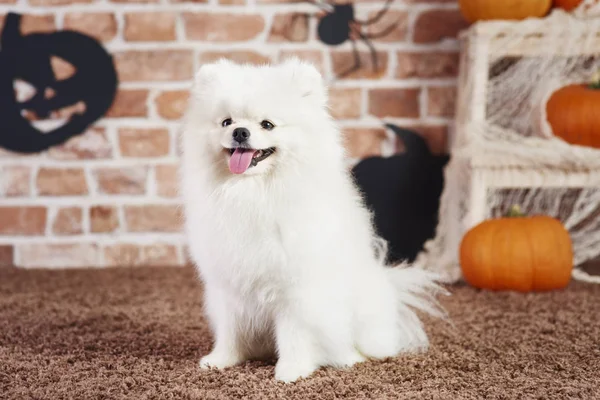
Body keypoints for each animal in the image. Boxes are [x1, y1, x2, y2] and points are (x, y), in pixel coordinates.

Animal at [180, 57, 448, 382]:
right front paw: (221, 360)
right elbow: (231, 330)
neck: (253, 192)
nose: (241, 132)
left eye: (267, 124)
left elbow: (294, 333)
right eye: (226, 122)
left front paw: (291, 370)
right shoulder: (230, 284)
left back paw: (351, 358)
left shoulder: (297, 289)